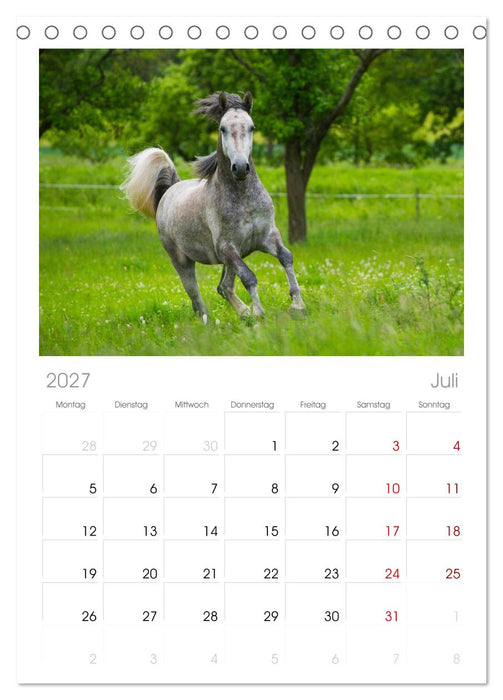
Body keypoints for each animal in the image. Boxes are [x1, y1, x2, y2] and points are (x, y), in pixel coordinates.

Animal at [121, 91, 306, 323]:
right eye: (222, 128)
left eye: (252, 127)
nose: (241, 168)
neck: (243, 199)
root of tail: (170, 190)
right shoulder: (227, 247)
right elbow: (249, 277)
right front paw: (259, 314)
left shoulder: (267, 237)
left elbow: (286, 257)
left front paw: (297, 305)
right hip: (182, 260)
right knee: (196, 298)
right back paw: (213, 322)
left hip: (229, 259)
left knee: (223, 287)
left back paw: (244, 314)